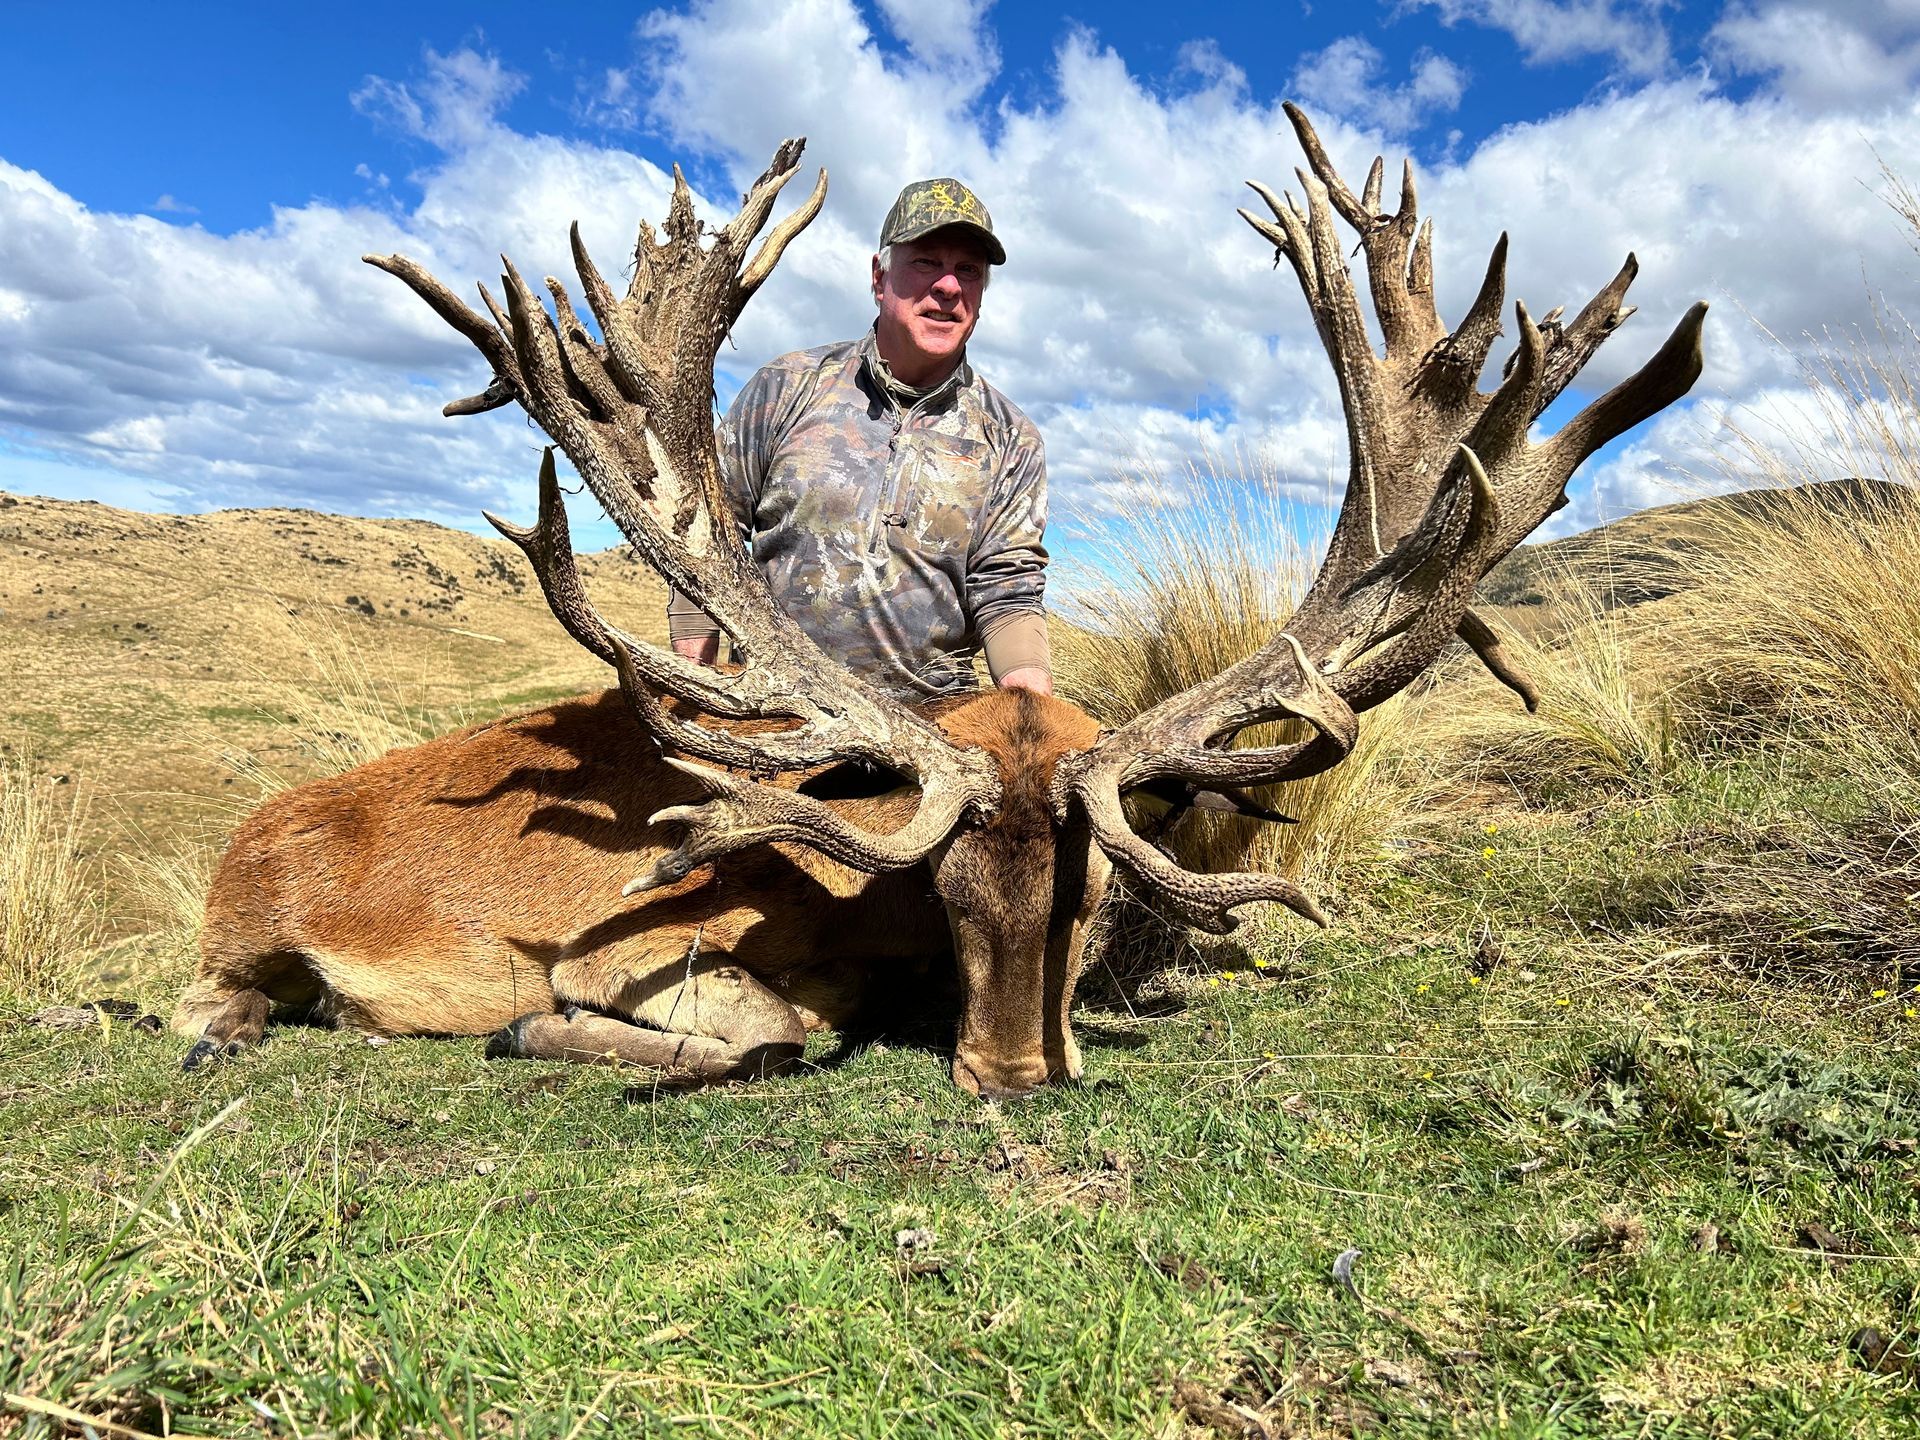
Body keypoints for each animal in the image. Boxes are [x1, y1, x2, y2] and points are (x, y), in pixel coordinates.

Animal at [174, 108, 1706, 1098]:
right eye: (947, 890)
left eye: (1096, 895)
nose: (1015, 1074)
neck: (851, 912)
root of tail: (245, 837)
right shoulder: (644, 943)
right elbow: (749, 1033)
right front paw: (527, 1031)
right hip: (236, 922)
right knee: (212, 990)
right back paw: (236, 1027)